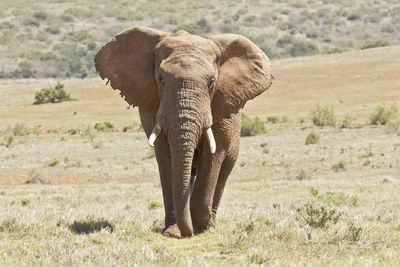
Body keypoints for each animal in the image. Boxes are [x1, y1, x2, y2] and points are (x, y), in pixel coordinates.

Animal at [95, 26, 274, 238]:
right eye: (161, 79)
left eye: (212, 82)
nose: (188, 232)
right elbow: (166, 155)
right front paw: (173, 232)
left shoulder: (222, 104)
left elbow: (213, 155)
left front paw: (200, 228)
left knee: (223, 170)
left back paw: (209, 223)